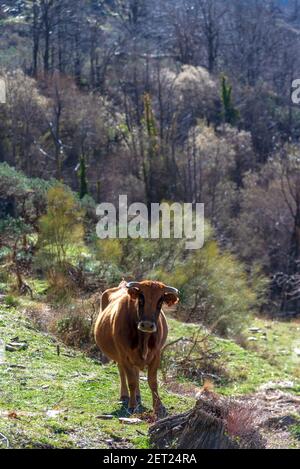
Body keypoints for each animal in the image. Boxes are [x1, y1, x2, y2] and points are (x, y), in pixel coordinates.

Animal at [94, 280, 178, 414]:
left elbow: (152, 382)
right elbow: (131, 381)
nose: (147, 325)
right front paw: (132, 405)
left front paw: (159, 406)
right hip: (120, 356)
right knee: (122, 372)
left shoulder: (156, 355)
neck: (143, 339)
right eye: (141, 299)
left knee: (136, 371)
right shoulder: (125, 356)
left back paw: (138, 395)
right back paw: (125, 395)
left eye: (160, 301)